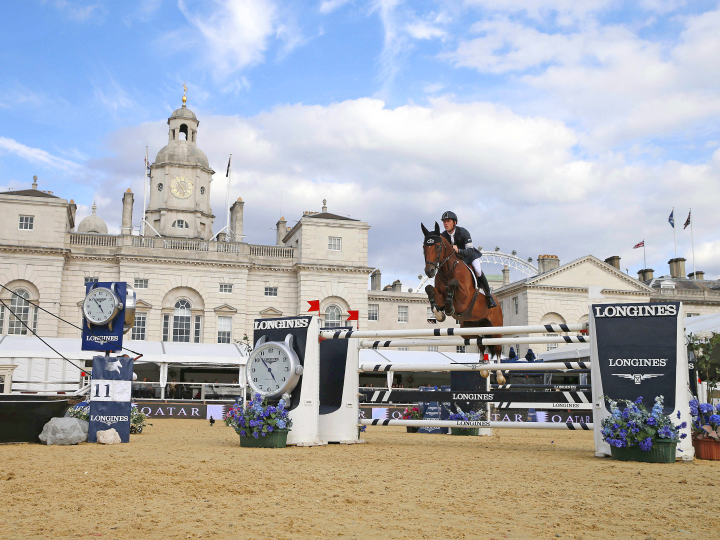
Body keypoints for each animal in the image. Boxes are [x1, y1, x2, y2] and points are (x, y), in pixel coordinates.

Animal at [420, 221, 504, 382]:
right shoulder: (439, 294)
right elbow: (429, 289)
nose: (429, 271)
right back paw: (483, 367)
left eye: (438, 246)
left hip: (496, 328)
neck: (447, 269)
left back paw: (499, 375)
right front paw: (439, 314)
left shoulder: (464, 299)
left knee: (497, 348)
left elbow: (453, 286)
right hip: (469, 329)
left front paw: (448, 308)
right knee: (480, 342)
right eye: (424, 247)